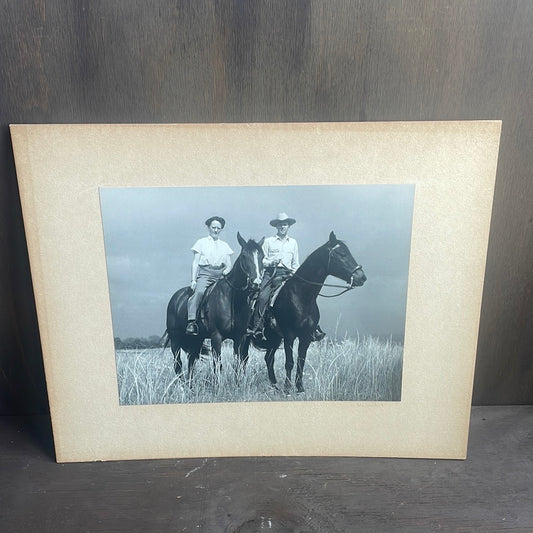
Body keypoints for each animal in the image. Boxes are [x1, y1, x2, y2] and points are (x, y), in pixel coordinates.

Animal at [162, 233, 262, 382]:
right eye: (244, 255)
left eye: (262, 256)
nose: (256, 283)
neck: (232, 299)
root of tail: (175, 298)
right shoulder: (216, 336)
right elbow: (217, 365)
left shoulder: (240, 337)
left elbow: (237, 364)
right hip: (175, 340)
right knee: (177, 364)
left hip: (196, 339)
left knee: (191, 362)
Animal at [242, 231, 364, 392]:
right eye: (342, 253)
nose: (362, 277)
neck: (301, 295)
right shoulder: (289, 335)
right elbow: (290, 362)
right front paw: (288, 388)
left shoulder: (306, 336)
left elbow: (301, 361)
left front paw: (300, 387)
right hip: (247, 337)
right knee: (243, 358)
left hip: (275, 338)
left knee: (268, 358)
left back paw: (274, 385)